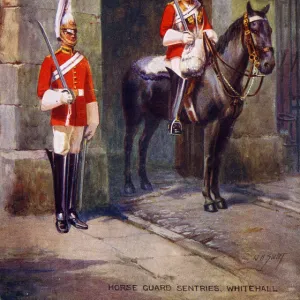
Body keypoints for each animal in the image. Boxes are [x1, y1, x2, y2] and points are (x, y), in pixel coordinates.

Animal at [121, 2, 274, 213]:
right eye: (254, 29)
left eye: (270, 30)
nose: (269, 64)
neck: (221, 77)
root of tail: (133, 66)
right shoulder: (212, 124)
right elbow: (208, 158)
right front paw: (208, 200)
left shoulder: (227, 125)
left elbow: (218, 159)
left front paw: (219, 198)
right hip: (133, 117)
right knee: (128, 144)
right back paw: (128, 185)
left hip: (153, 118)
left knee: (143, 143)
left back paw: (145, 183)